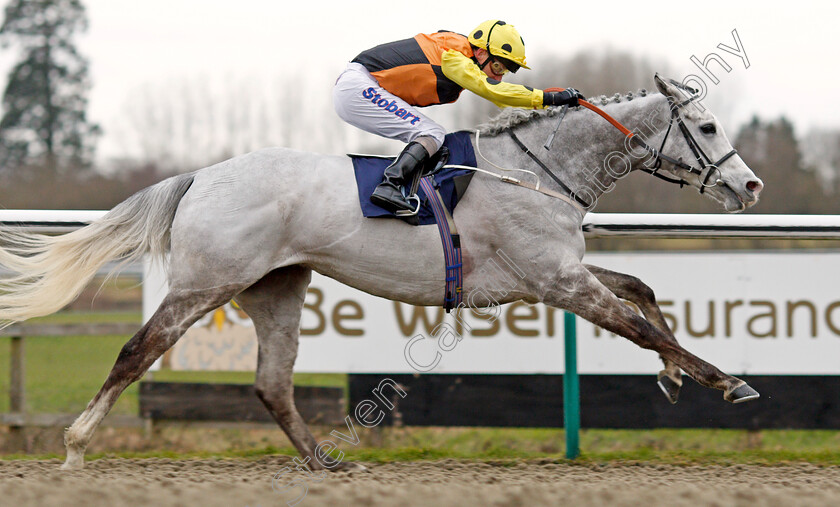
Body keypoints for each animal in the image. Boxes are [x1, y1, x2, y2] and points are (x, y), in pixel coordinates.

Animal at [0, 73, 760, 470]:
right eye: (709, 128)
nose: (749, 187)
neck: (540, 168)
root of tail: (200, 176)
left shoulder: (559, 270)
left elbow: (642, 292)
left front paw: (677, 377)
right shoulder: (556, 280)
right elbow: (636, 323)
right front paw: (727, 381)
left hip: (278, 287)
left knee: (271, 383)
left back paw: (324, 461)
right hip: (204, 283)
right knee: (138, 350)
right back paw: (75, 447)